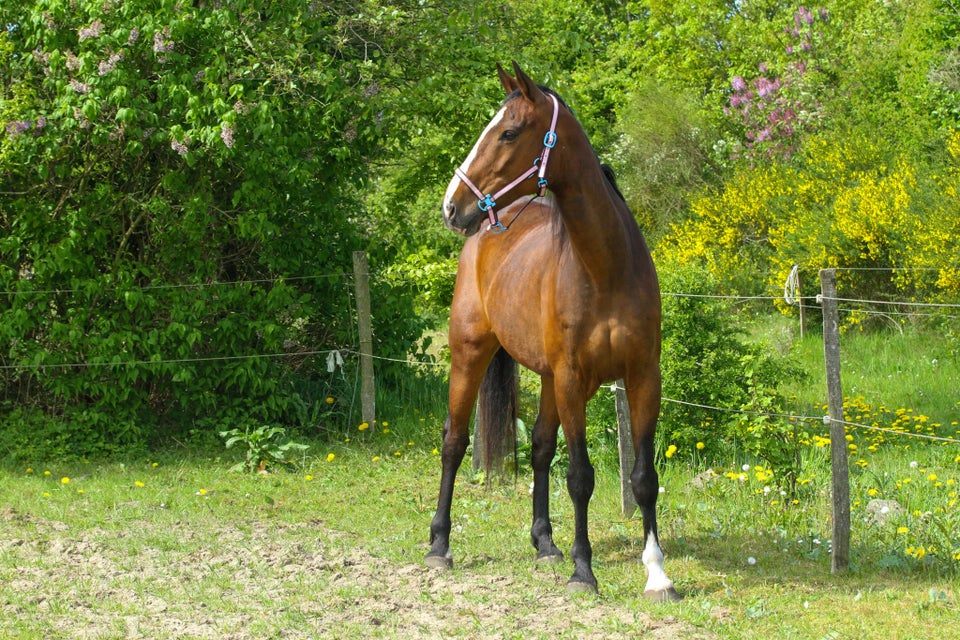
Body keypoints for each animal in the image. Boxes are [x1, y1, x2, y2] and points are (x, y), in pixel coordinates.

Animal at [424, 61, 680, 600]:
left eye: (508, 132)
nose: (451, 207)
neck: (606, 270)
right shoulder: (572, 380)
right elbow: (581, 476)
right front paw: (584, 571)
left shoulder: (643, 377)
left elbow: (643, 478)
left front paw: (657, 573)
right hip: (470, 353)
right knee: (453, 442)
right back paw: (439, 545)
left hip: (544, 377)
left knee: (540, 448)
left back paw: (545, 542)